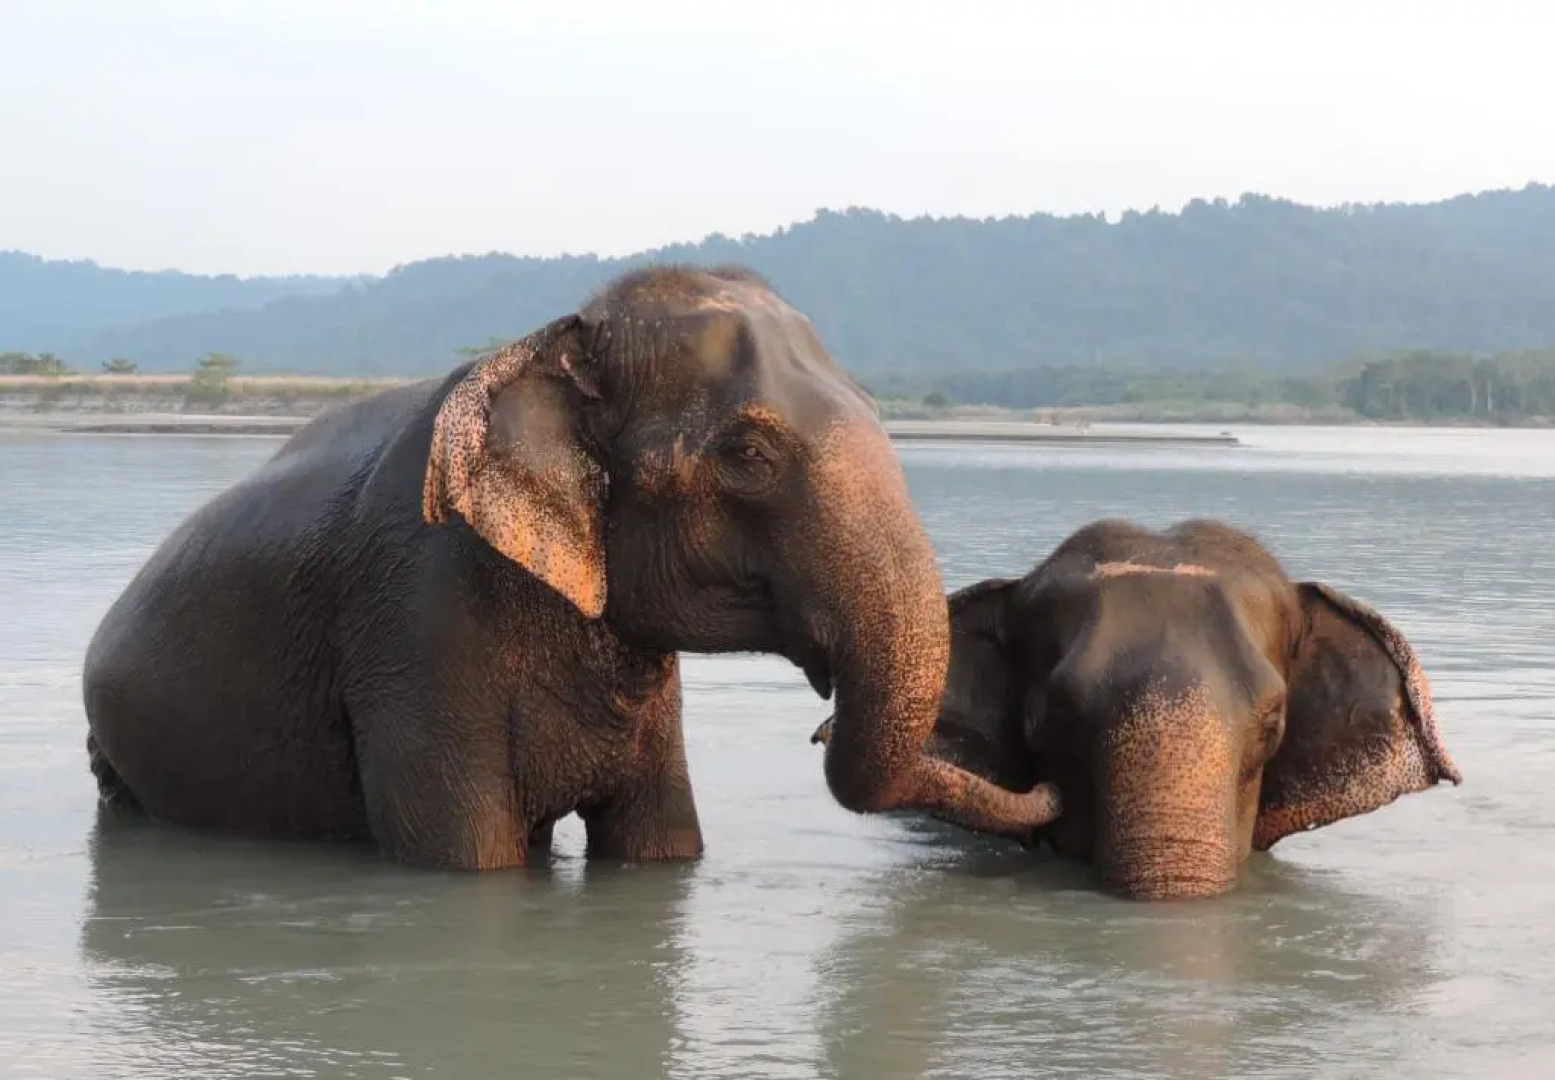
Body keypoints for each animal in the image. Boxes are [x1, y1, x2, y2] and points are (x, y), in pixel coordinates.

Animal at [82, 264, 1060, 871]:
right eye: (747, 454)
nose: (1050, 786)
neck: (550, 343)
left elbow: (663, 843)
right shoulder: (414, 623)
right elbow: (469, 857)